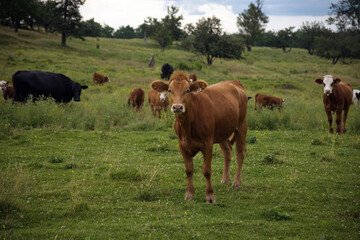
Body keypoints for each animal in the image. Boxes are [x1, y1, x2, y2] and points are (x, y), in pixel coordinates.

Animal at [150, 71, 249, 202]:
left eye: (187, 90)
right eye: (170, 90)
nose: (177, 107)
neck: (188, 126)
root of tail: (234, 82)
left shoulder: (208, 144)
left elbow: (206, 170)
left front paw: (210, 196)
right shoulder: (182, 144)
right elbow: (189, 170)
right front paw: (189, 194)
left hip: (242, 125)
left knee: (240, 153)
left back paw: (236, 182)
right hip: (222, 131)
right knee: (227, 152)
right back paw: (225, 179)